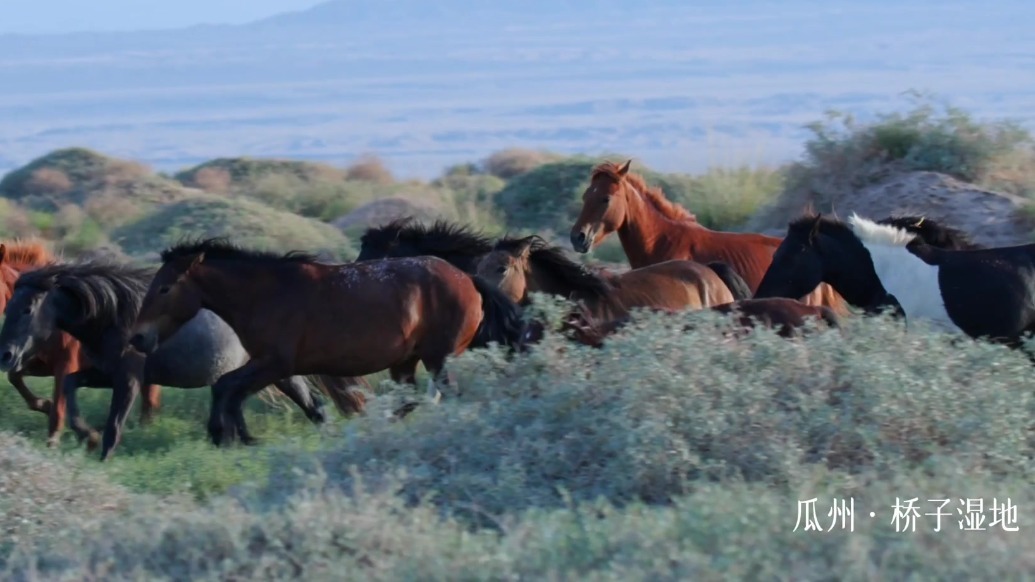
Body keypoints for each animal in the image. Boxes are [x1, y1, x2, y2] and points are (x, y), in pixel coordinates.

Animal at [0, 238, 159, 441]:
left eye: (27, 309)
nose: (3, 354)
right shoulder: (38, 364)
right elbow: (15, 377)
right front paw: (45, 405)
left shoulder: (65, 365)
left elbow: (58, 412)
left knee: (149, 401)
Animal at [125, 236, 521, 443]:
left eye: (164, 288)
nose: (139, 337)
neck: (265, 294)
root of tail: (468, 280)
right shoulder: (275, 368)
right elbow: (233, 389)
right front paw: (235, 435)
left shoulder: (274, 364)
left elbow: (225, 387)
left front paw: (226, 434)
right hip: (405, 362)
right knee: (409, 401)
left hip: (437, 358)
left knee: (443, 396)